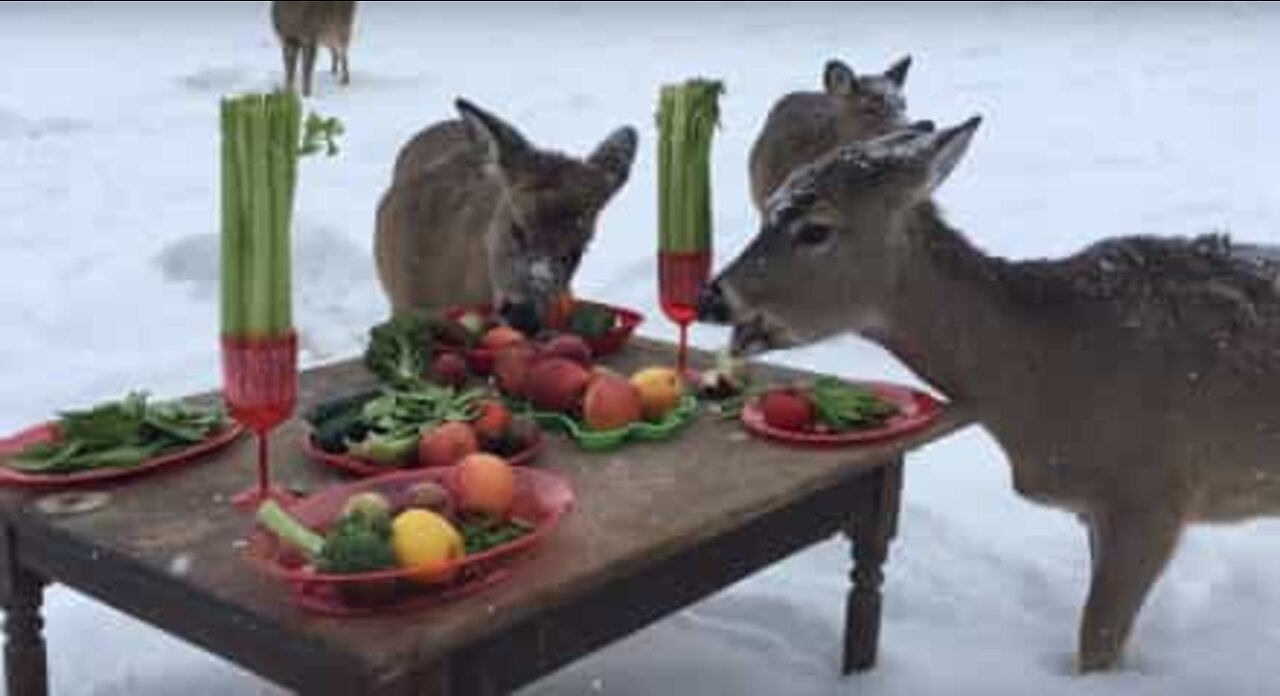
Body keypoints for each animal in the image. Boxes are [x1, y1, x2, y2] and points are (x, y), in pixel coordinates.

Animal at [701, 120, 1280, 675]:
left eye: (816, 228)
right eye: (768, 209)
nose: (712, 296)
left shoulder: (1154, 491)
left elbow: (1095, 644)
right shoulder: (1101, 507)